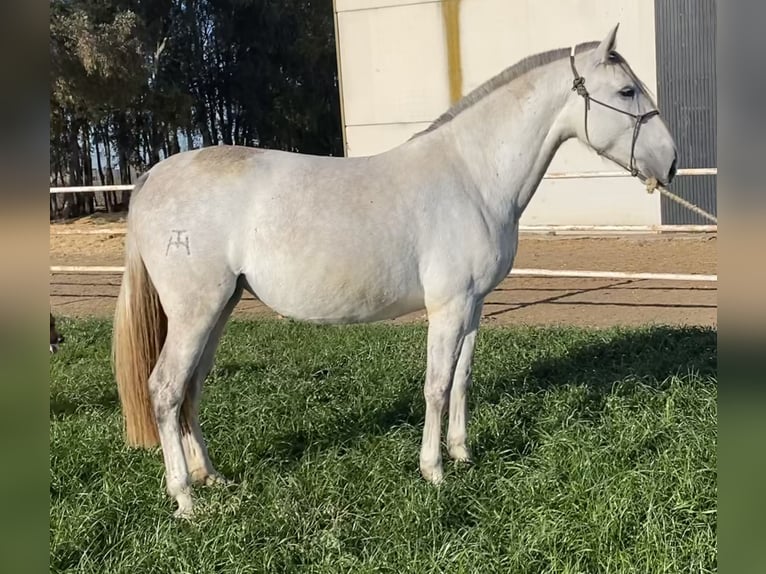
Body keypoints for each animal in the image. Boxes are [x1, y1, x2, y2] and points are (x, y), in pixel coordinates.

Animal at [112, 25, 680, 516]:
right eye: (627, 90)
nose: (671, 163)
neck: (471, 175)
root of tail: (151, 177)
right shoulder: (446, 307)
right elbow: (436, 384)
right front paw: (434, 471)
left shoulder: (473, 306)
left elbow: (461, 378)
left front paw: (462, 455)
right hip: (195, 312)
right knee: (165, 389)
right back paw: (185, 499)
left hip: (219, 307)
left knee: (191, 388)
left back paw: (211, 477)